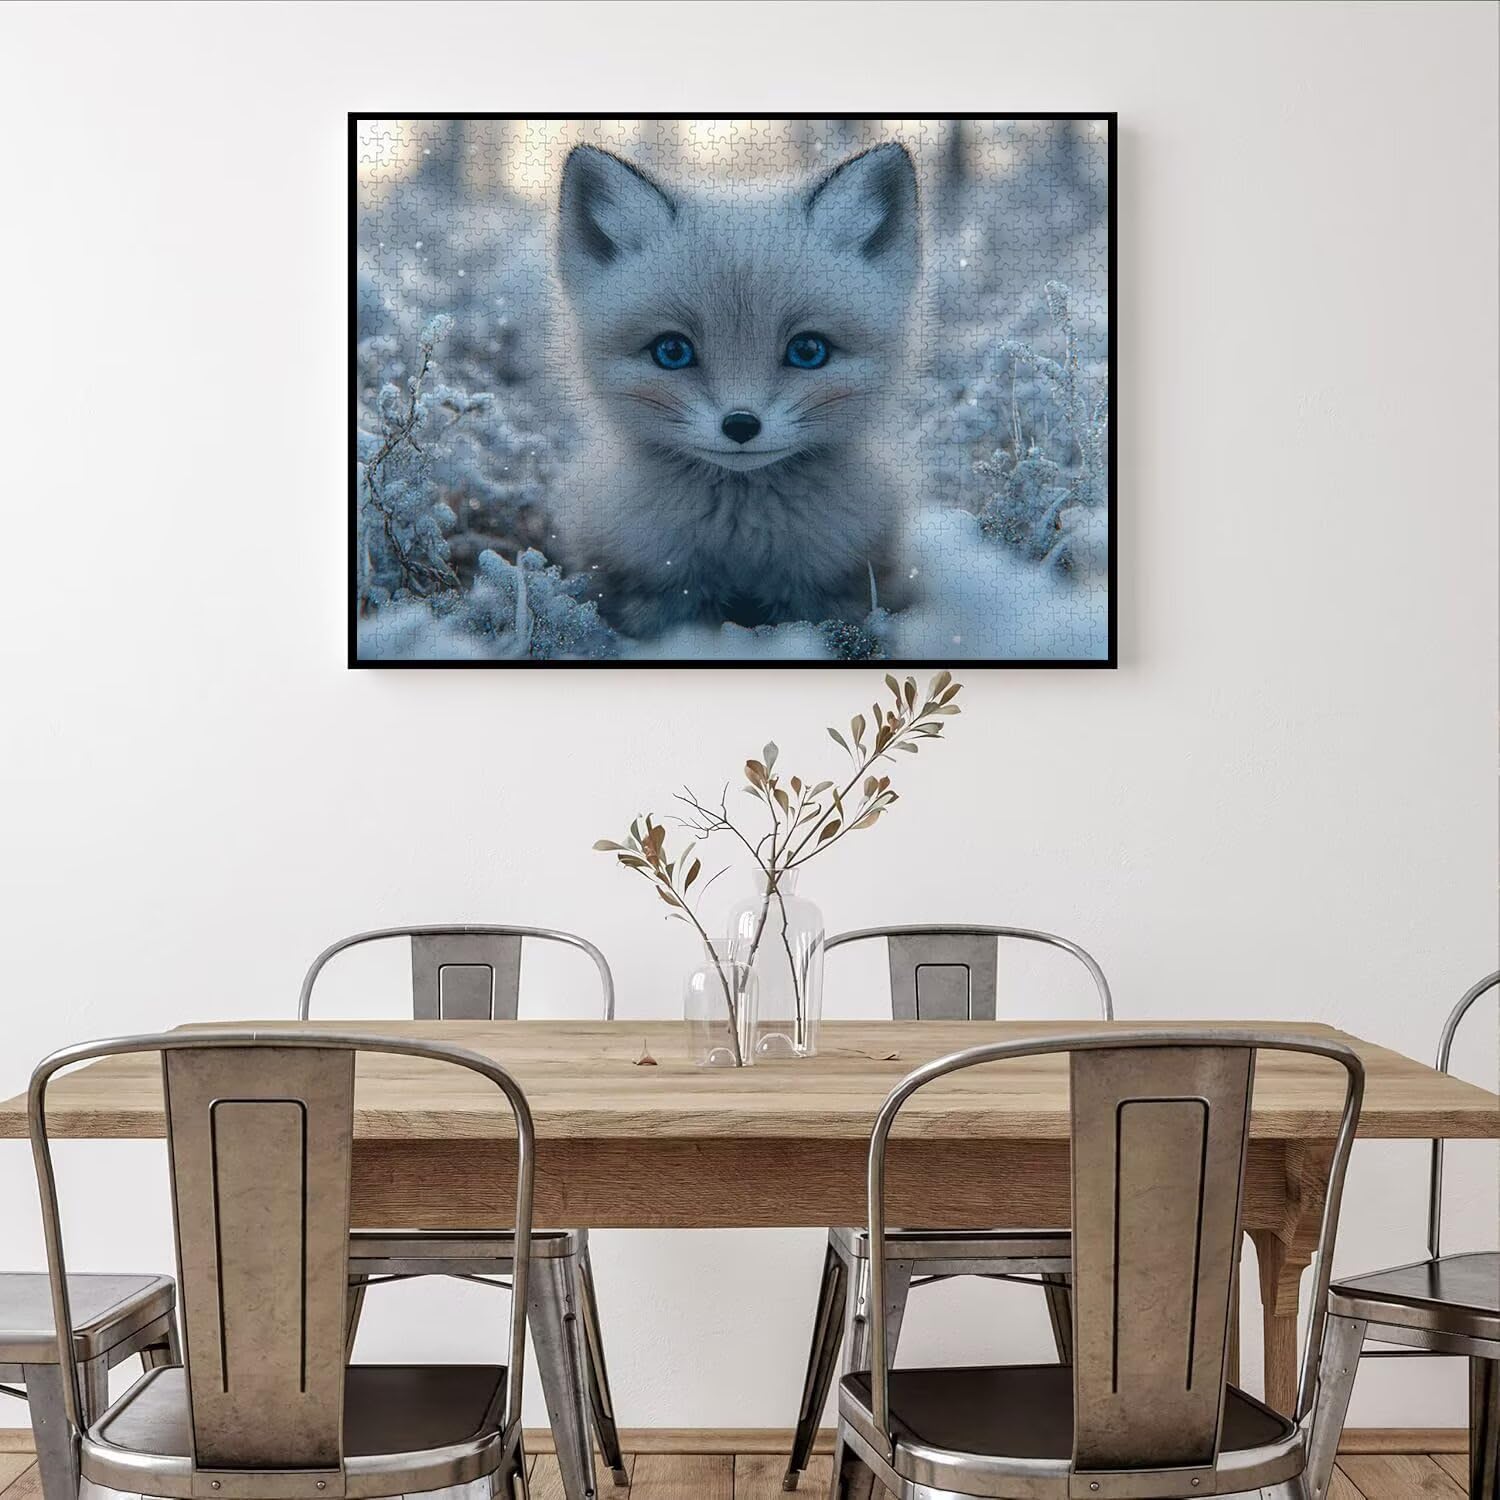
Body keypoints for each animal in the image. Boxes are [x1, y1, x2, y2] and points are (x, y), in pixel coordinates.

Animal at [552, 139, 921, 638]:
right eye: (672, 351)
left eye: (808, 350)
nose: (741, 425)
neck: (739, 538)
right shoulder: (654, 588)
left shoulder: (832, 589)